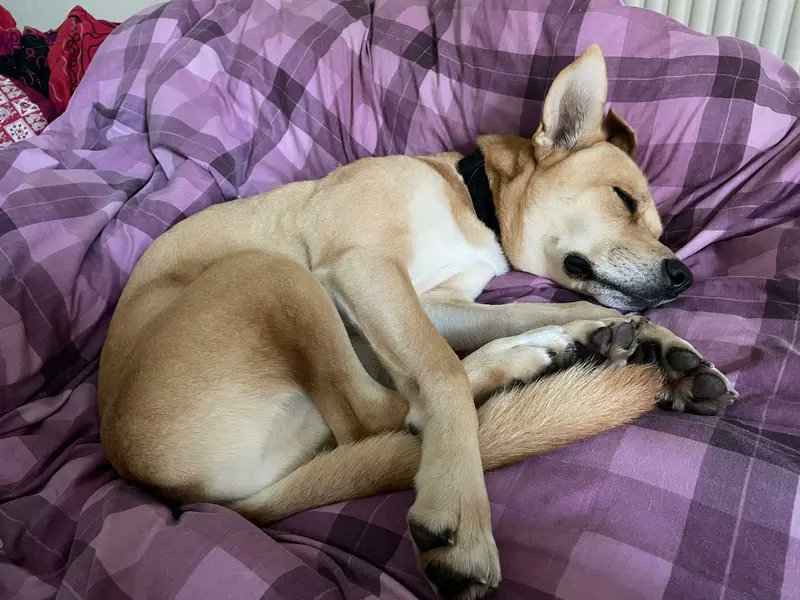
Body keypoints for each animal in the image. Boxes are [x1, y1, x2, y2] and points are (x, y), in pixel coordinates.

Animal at [98, 48, 736, 600]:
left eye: (660, 228)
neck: (471, 199)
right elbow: (440, 372)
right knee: (374, 416)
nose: (683, 276)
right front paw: (459, 506)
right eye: (624, 199)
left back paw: (565, 349)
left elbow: (539, 310)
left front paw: (654, 340)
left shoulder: (430, 302)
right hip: (272, 274)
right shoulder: (366, 267)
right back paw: (522, 363)